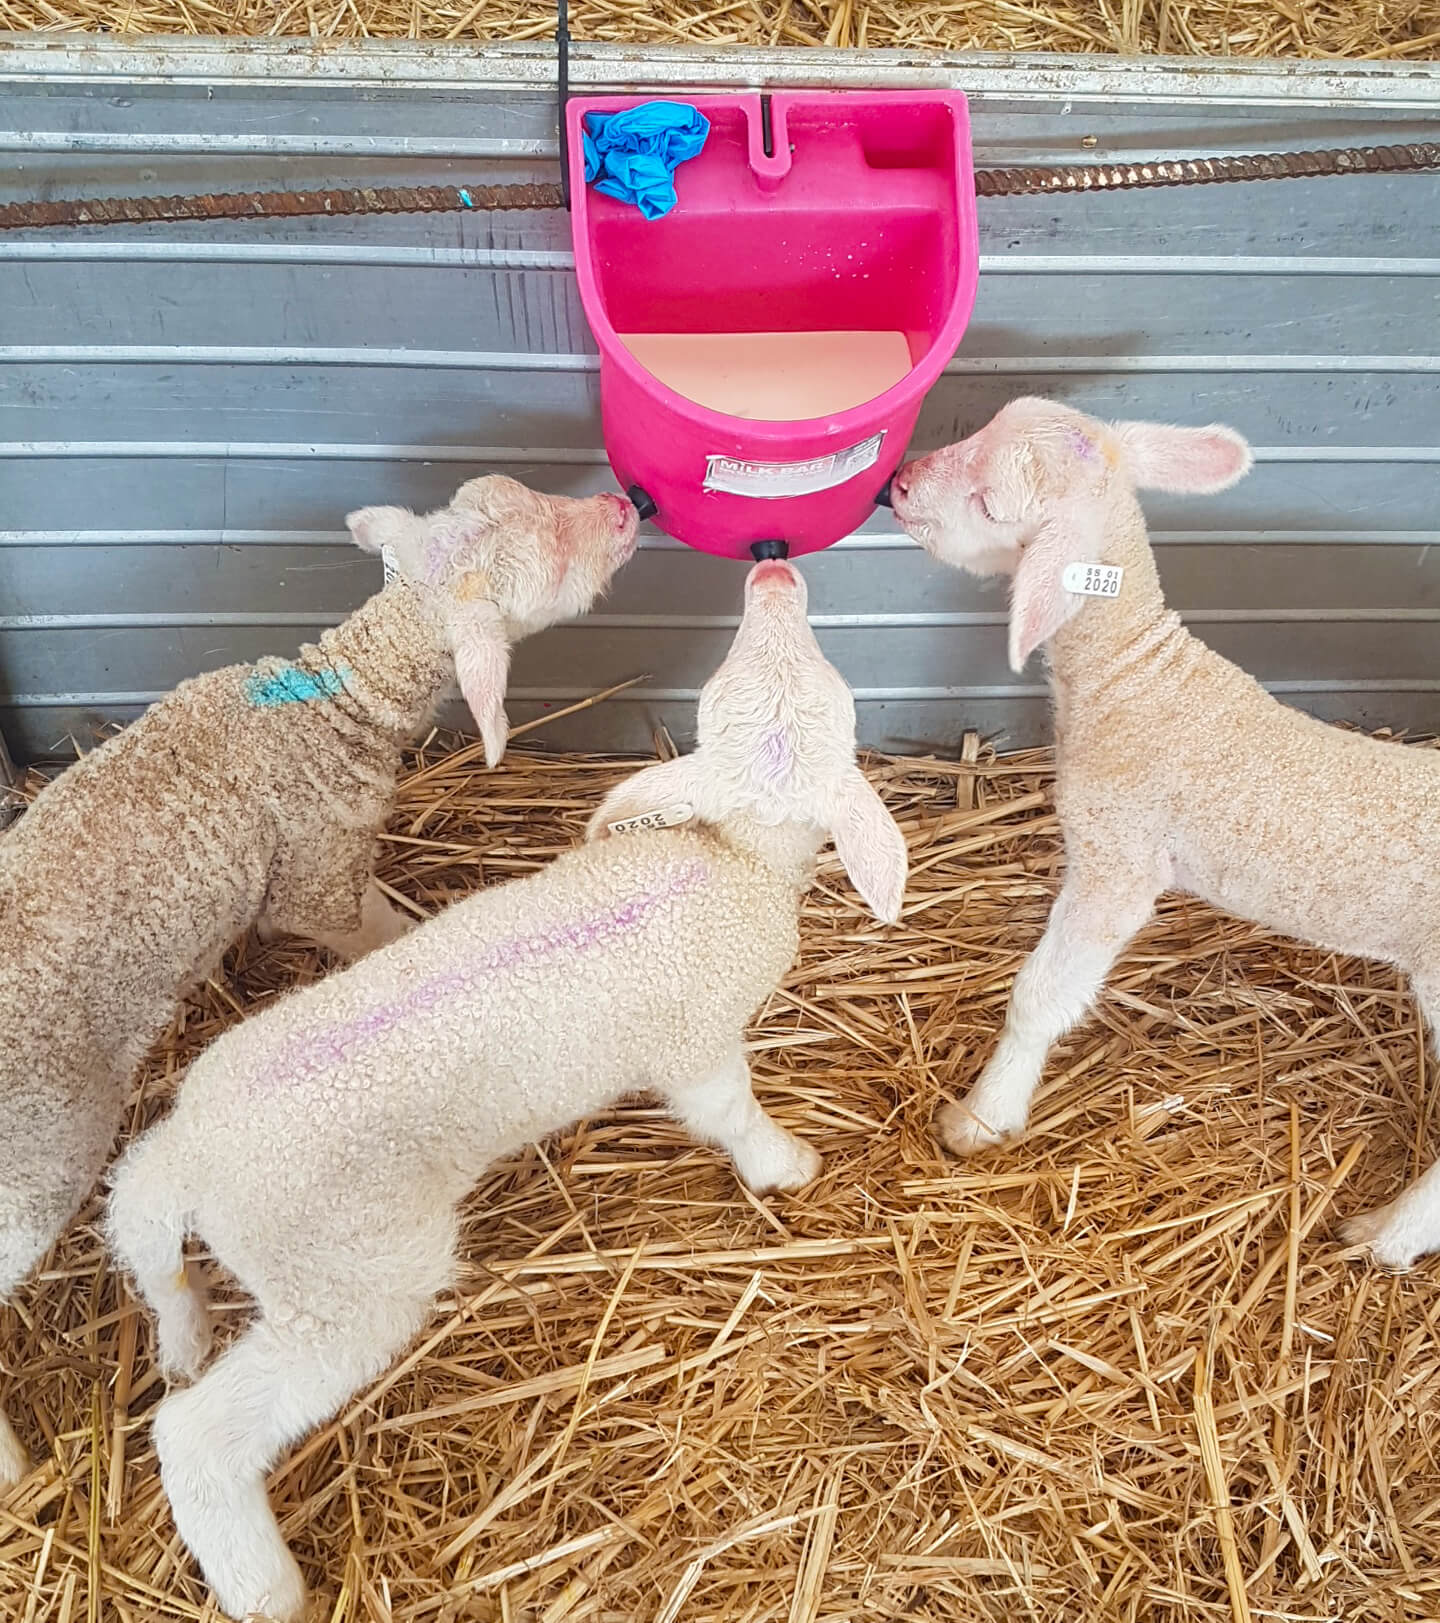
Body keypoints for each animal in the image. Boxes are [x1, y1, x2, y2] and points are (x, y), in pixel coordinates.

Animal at [0, 476, 638, 1492]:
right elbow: (383, 935)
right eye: (548, 553)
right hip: (34, 1160)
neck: (334, 700)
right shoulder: (317, 878)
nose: (624, 506)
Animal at [105, 555, 908, 1623]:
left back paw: (178, 1324)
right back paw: (265, 1584)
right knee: (197, 1434)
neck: (729, 857)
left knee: (138, 1225)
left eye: (805, 680)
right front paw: (788, 1164)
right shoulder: (697, 1043)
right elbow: (727, 1112)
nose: (776, 571)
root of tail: (200, 1150)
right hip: (348, 1279)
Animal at [889, 395, 1440, 1270]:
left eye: (989, 503)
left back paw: (1389, 1235)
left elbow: (1041, 995)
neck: (1136, 677)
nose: (900, 485)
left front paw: (981, 1115)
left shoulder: (1117, 858)